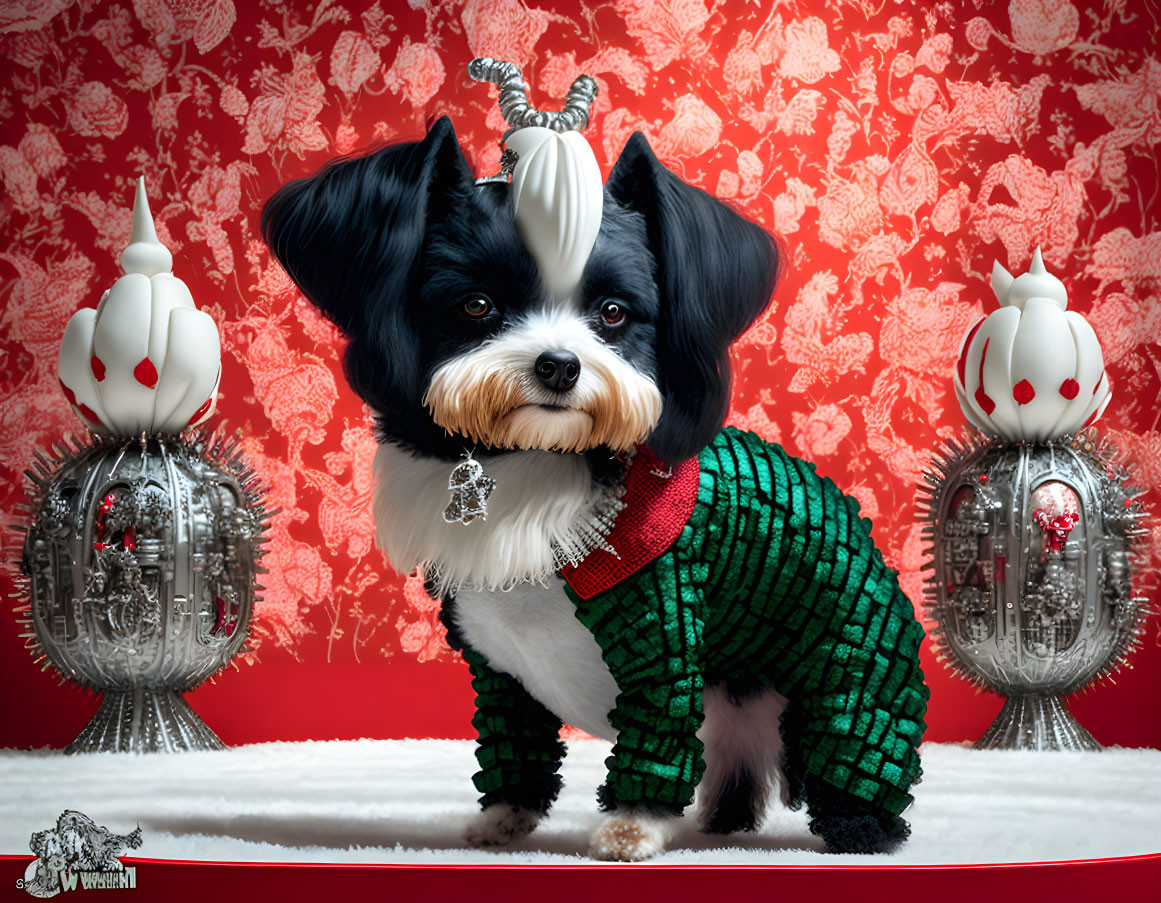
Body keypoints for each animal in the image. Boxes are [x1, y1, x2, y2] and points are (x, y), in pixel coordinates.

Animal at [263, 116, 914, 854]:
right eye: (476, 305)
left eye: (612, 312)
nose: (558, 365)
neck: (539, 463)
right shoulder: (499, 668)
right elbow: (514, 742)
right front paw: (505, 816)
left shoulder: (662, 637)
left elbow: (655, 735)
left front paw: (632, 827)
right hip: (737, 692)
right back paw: (723, 815)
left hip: (853, 669)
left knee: (853, 742)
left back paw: (857, 824)